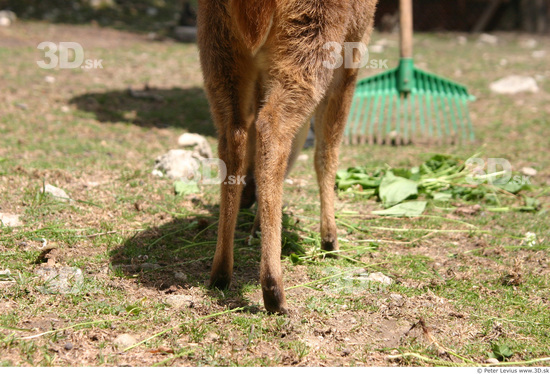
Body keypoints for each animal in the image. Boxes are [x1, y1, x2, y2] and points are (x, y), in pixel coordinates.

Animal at [198, 0, 380, 314]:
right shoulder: (353, 52)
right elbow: (327, 149)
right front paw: (330, 238)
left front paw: (258, 221)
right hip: (311, 37)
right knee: (272, 128)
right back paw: (274, 291)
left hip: (217, 44)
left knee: (234, 134)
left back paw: (221, 273)